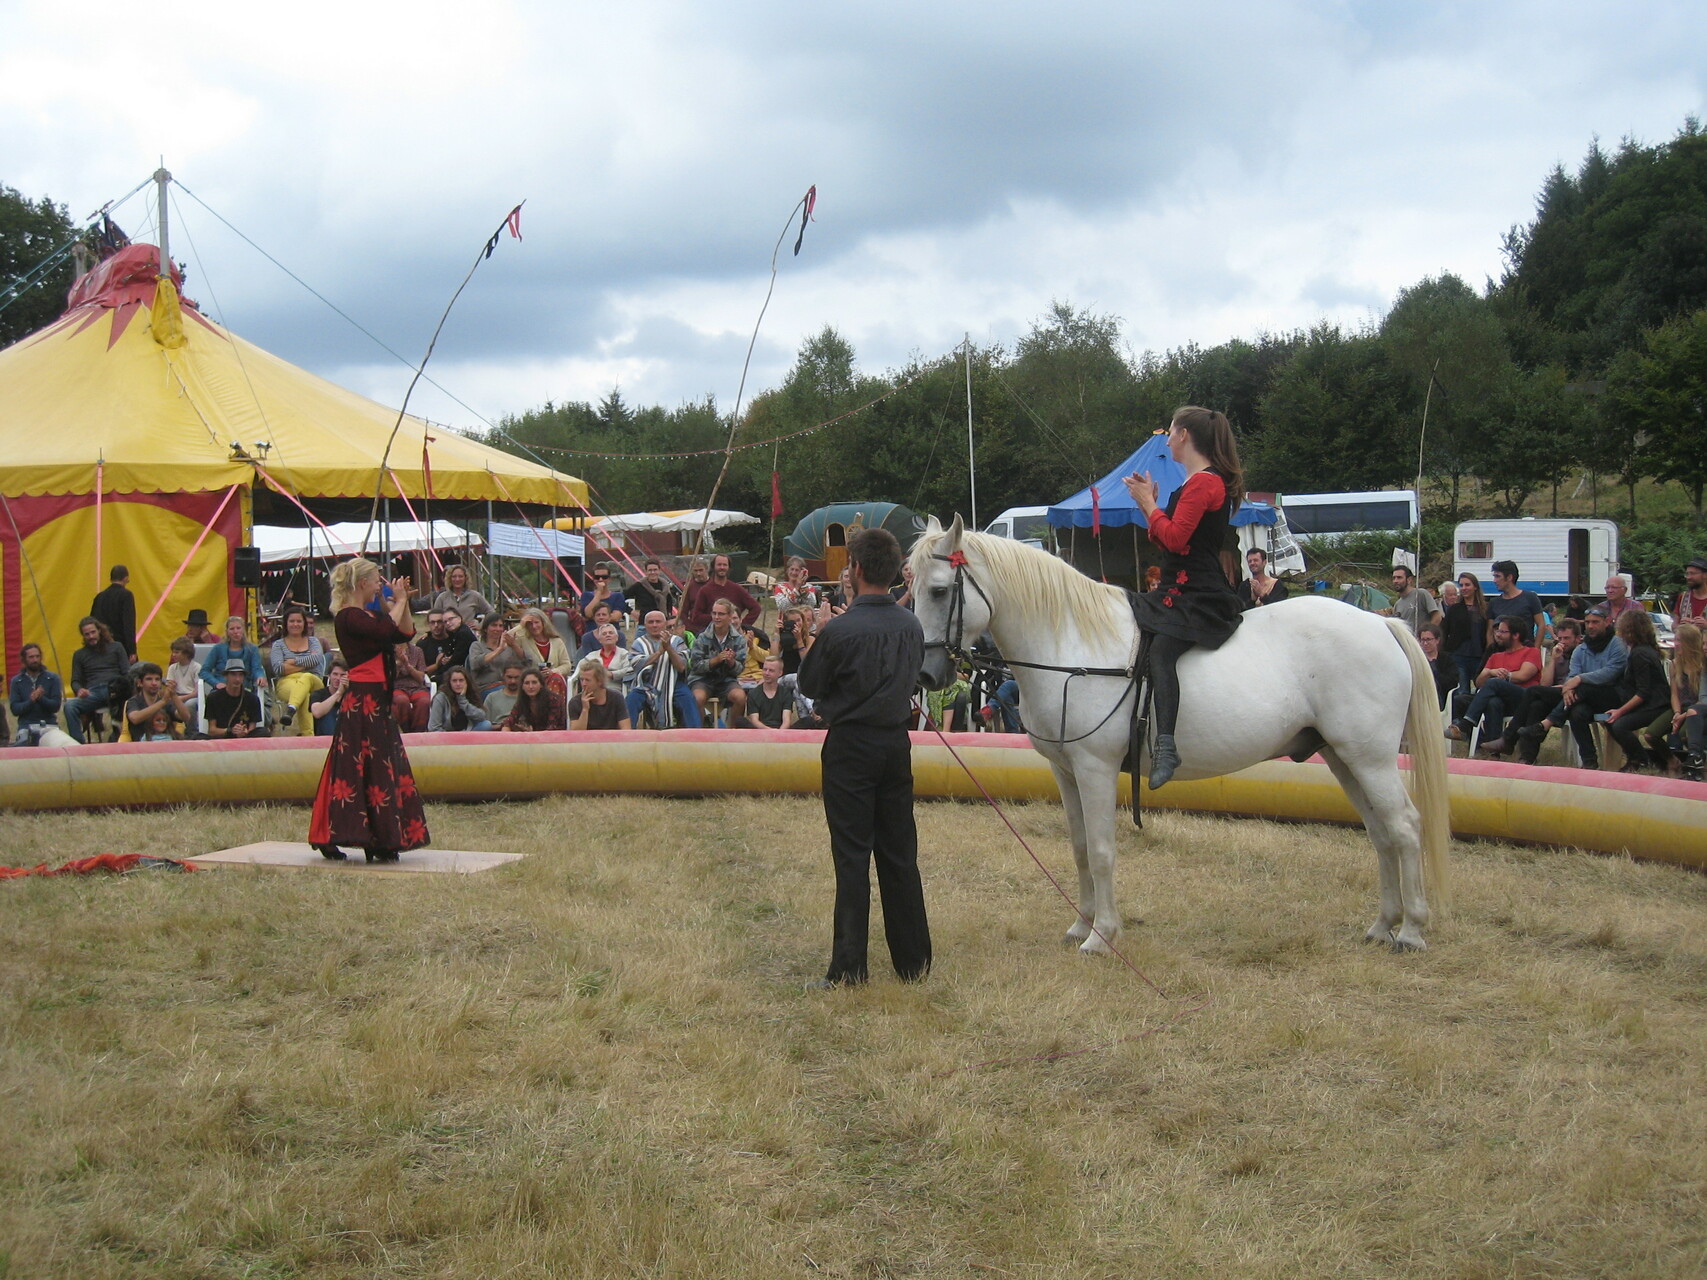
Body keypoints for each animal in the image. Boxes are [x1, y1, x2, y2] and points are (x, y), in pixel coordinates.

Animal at [910, 516, 1450, 953]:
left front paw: (1101, 936)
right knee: (1381, 833)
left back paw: (1411, 931)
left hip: (1370, 759)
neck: (1073, 646)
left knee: (1404, 827)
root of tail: (1381, 626)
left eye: (938, 591)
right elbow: (1080, 848)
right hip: (1343, 757)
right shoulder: (1065, 771)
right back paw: (1382, 925)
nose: (928, 675)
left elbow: (1102, 851)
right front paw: (1080, 925)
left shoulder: (1095, 769)